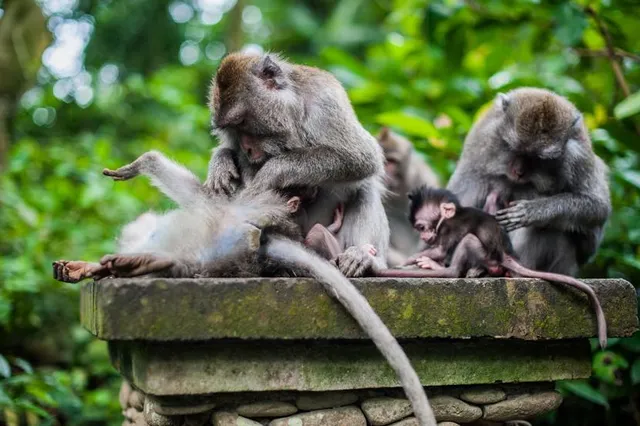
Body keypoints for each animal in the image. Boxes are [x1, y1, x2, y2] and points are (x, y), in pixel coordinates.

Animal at [203, 52, 390, 278]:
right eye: (231, 129)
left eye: (241, 122)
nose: (246, 148)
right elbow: (234, 156)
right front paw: (220, 162)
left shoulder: (326, 101)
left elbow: (361, 156)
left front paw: (271, 172)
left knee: (365, 186)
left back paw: (366, 258)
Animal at [374, 186, 607, 349]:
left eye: (422, 227)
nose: (423, 236)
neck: (450, 216)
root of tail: (504, 254)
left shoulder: (449, 228)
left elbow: (440, 250)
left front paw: (412, 261)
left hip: (486, 255)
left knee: (467, 242)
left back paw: (445, 269)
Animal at [446, 88, 611, 277]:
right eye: (515, 149)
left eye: (537, 159)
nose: (518, 172)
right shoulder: (481, 139)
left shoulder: (579, 156)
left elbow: (598, 208)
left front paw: (535, 211)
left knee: (553, 229)